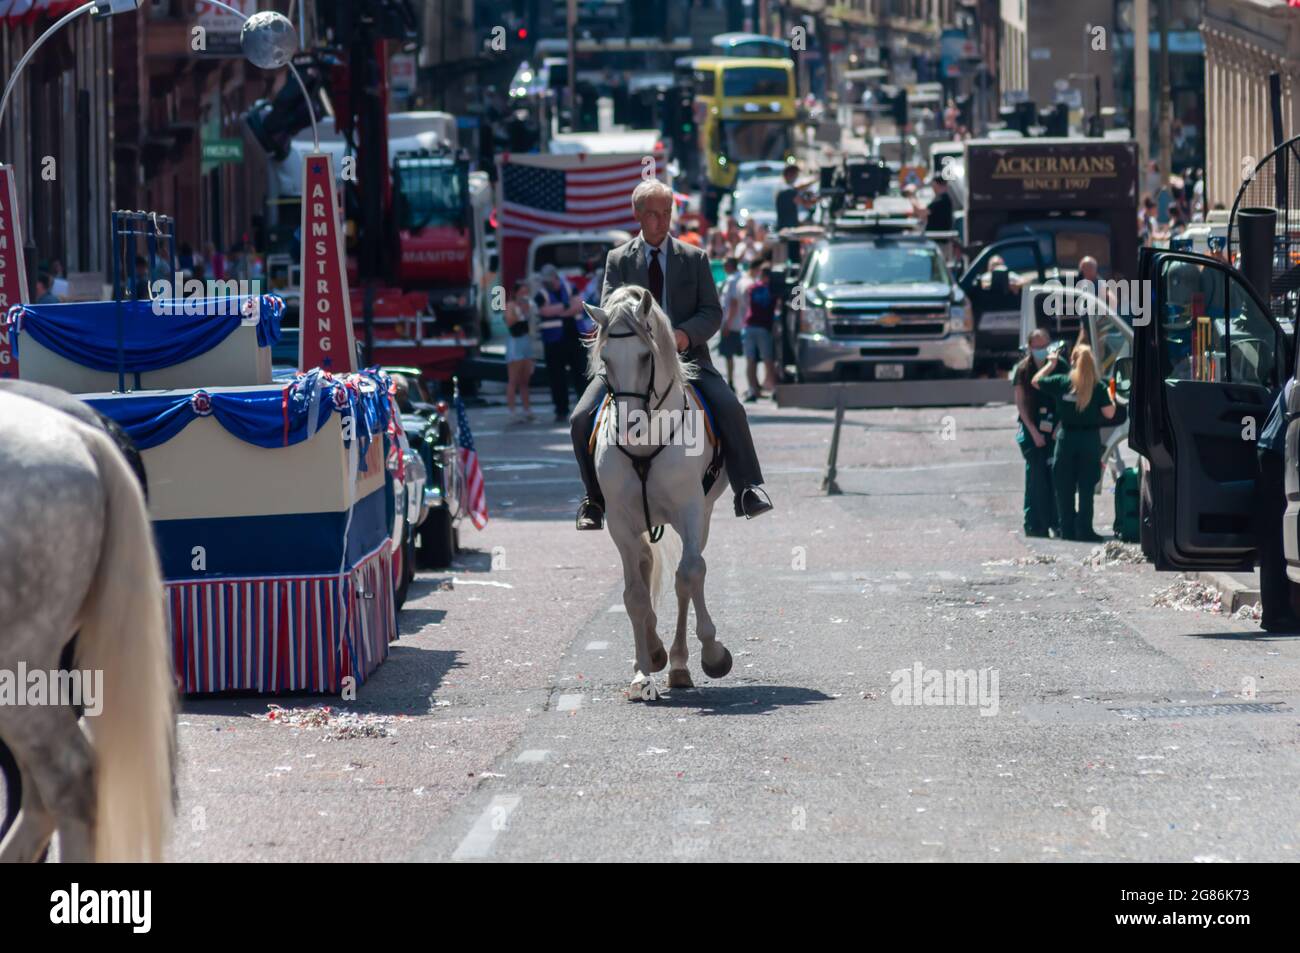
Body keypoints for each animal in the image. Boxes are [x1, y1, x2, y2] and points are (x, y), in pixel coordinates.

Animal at [587, 284, 733, 696]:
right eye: (605, 357)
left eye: (644, 355)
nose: (628, 424)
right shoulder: (620, 523)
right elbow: (635, 596)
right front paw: (643, 670)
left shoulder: (690, 511)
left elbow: (688, 575)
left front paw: (712, 654)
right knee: (644, 564)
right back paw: (652, 655)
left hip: (704, 515)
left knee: (690, 573)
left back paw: (680, 665)